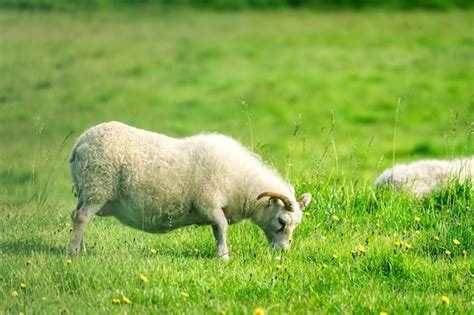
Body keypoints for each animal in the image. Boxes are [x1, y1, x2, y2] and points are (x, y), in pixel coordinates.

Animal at [66, 121, 312, 260]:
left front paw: (220, 252)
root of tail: (79, 142)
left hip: (86, 189)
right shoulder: (208, 201)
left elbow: (217, 230)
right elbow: (222, 226)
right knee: (82, 217)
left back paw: (80, 249)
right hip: (98, 186)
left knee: (77, 216)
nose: (282, 252)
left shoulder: (212, 208)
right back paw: (73, 253)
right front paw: (224, 256)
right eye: (282, 221)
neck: (242, 184)